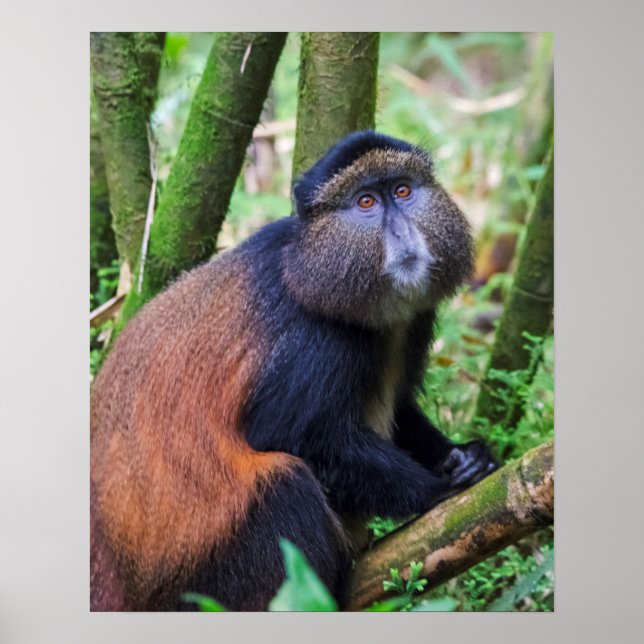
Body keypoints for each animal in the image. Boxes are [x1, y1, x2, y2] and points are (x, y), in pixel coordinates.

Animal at [90, 130, 497, 612]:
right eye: (365, 202)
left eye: (402, 191)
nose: (402, 232)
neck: (308, 266)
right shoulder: (314, 340)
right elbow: (286, 434)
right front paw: (437, 489)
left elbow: (400, 411)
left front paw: (464, 455)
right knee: (286, 483)